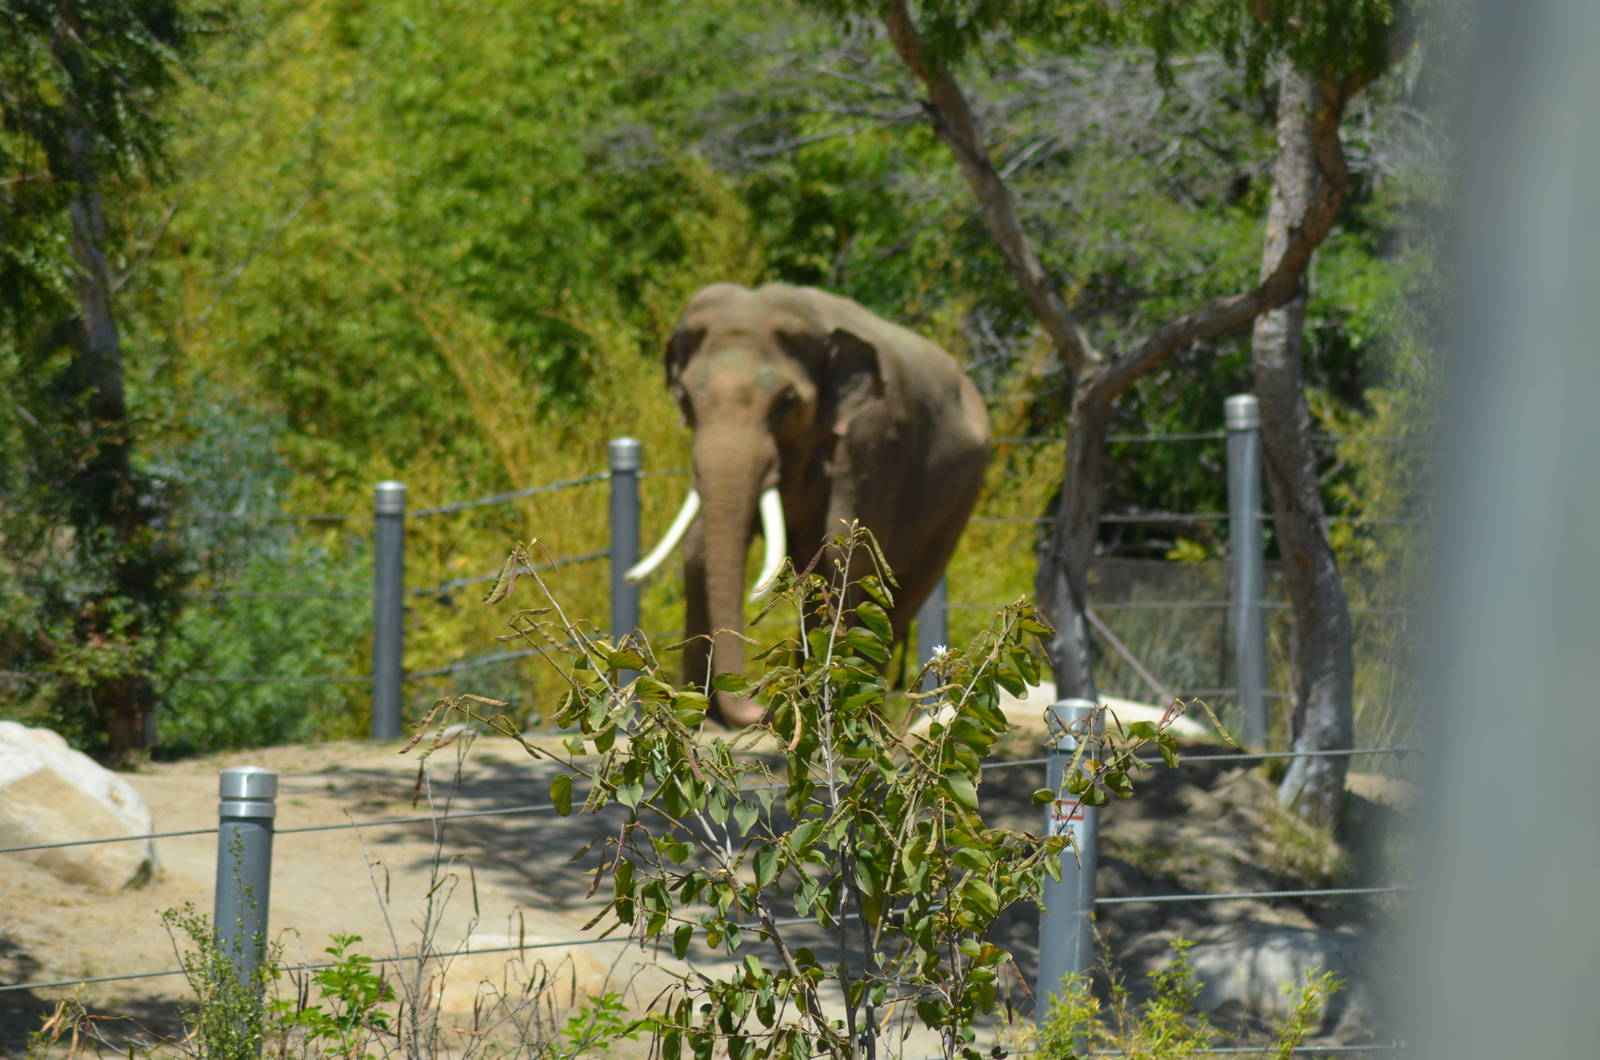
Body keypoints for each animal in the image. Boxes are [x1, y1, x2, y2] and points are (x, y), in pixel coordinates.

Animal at [625, 282, 991, 726]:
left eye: (786, 403)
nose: (756, 707)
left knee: (904, 598)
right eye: (687, 401)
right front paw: (700, 712)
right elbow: (697, 551)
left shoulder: (872, 436)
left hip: (962, 494)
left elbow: (838, 551)